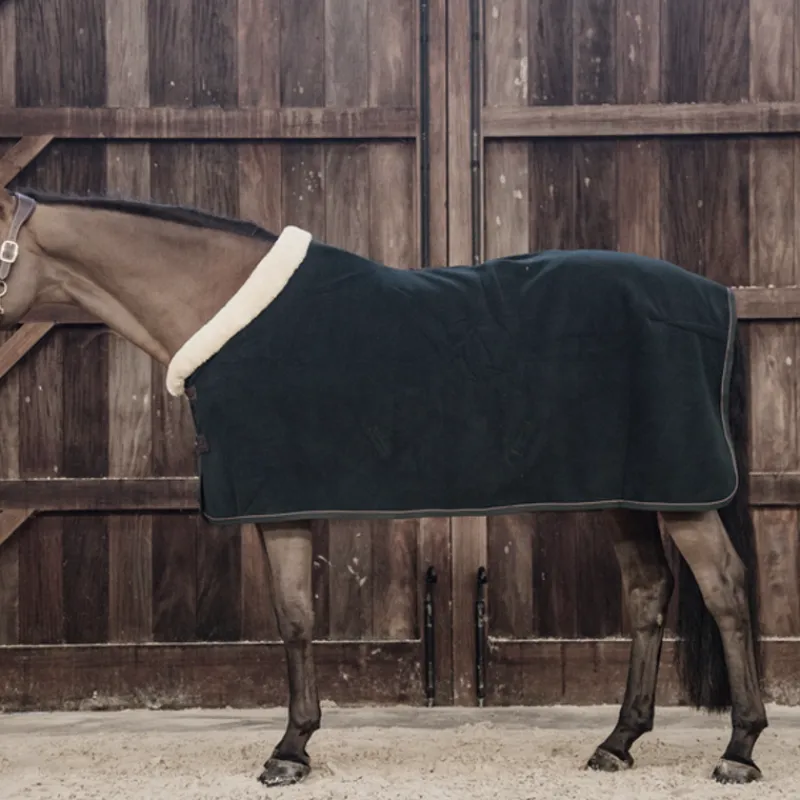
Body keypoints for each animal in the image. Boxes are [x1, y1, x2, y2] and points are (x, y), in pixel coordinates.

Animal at [0, 186, 767, 786]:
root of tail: (714, 296)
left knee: (726, 589)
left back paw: (740, 749)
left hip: (681, 493)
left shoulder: (281, 505)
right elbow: (296, 617)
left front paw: (290, 751)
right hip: (627, 492)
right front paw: (298, 743)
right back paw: (617, 743)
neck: (227, 310)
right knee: (649, 591)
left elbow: (294, 618)